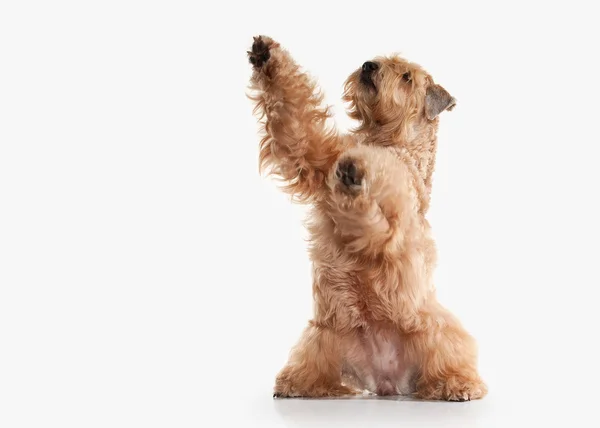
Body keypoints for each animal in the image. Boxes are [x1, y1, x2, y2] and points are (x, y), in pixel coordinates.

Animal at [246, 34, 486, 402]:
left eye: (407, 77)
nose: (369, 66)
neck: (385, 139)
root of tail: (385, 379)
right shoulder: (316, 153)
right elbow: (295, 115)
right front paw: (266, 55)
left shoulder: (394, 207)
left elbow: (375, 205)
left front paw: (358, 171)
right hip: (323, 337)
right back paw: (297, 384)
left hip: (436, 330)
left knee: (449, 359)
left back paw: (458, 385)